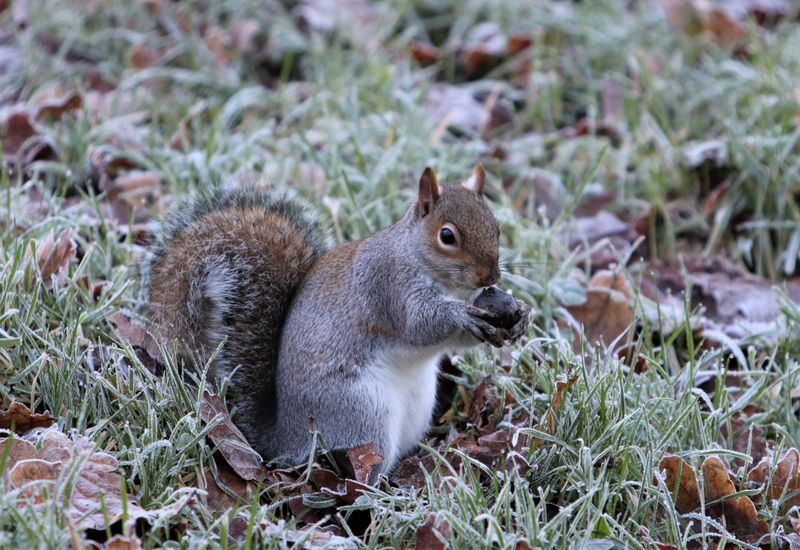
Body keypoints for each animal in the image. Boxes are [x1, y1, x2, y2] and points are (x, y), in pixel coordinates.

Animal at [140, 164, 529, 475]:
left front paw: (518, 315)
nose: (491, 276)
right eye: (447, 236)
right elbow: (420, 325)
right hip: (362, 413)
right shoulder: (388, 286)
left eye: (496, 228)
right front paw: (463, 315)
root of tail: (285, 438)